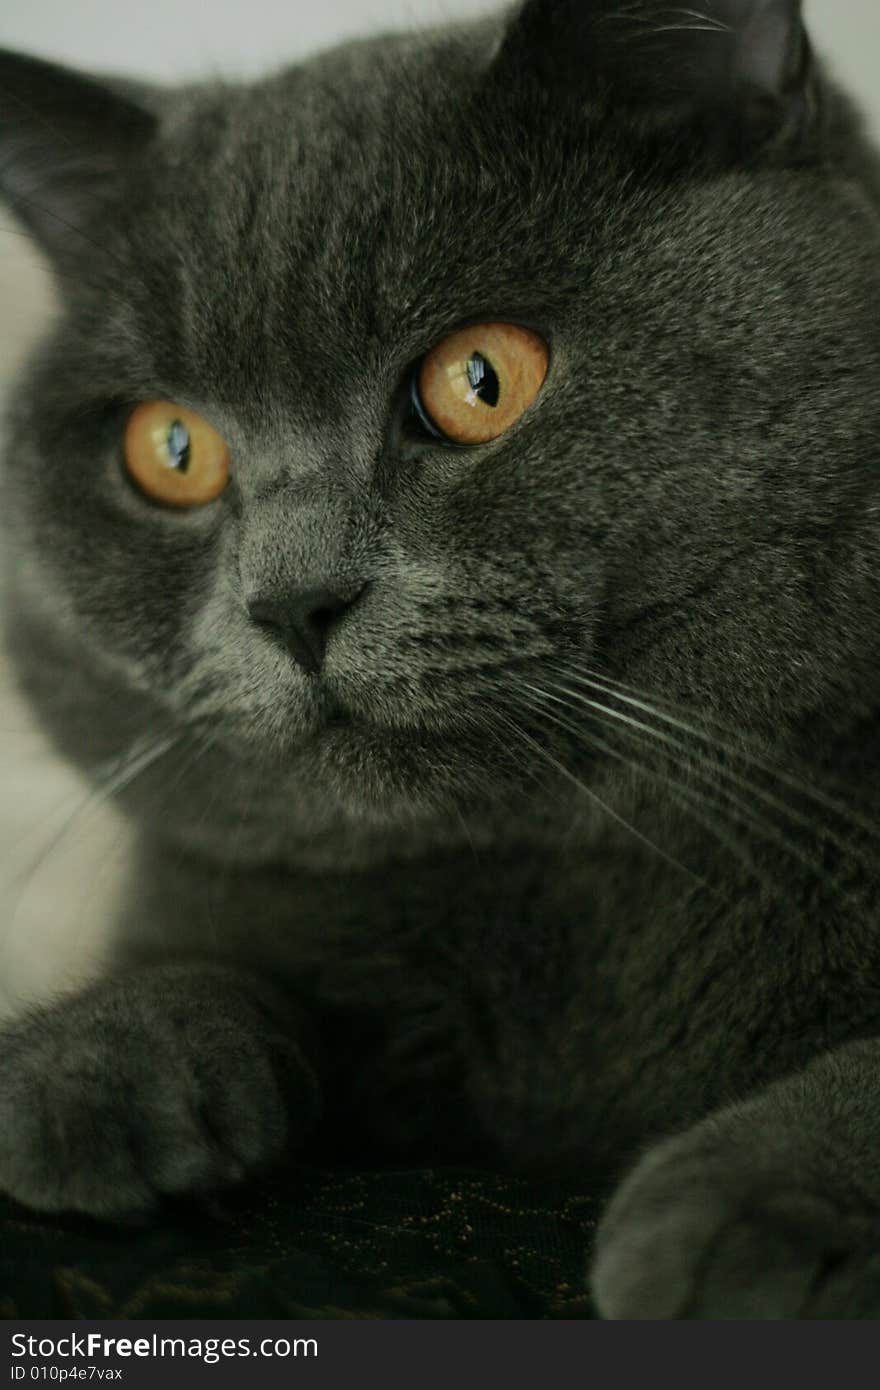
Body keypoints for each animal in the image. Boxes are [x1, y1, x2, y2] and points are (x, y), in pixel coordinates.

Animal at [1, 0, 878, 1323]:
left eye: (481, 379)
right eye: (172, 449)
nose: (294, 600)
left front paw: (740, 1223)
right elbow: (207, 961)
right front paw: (91, 1064)